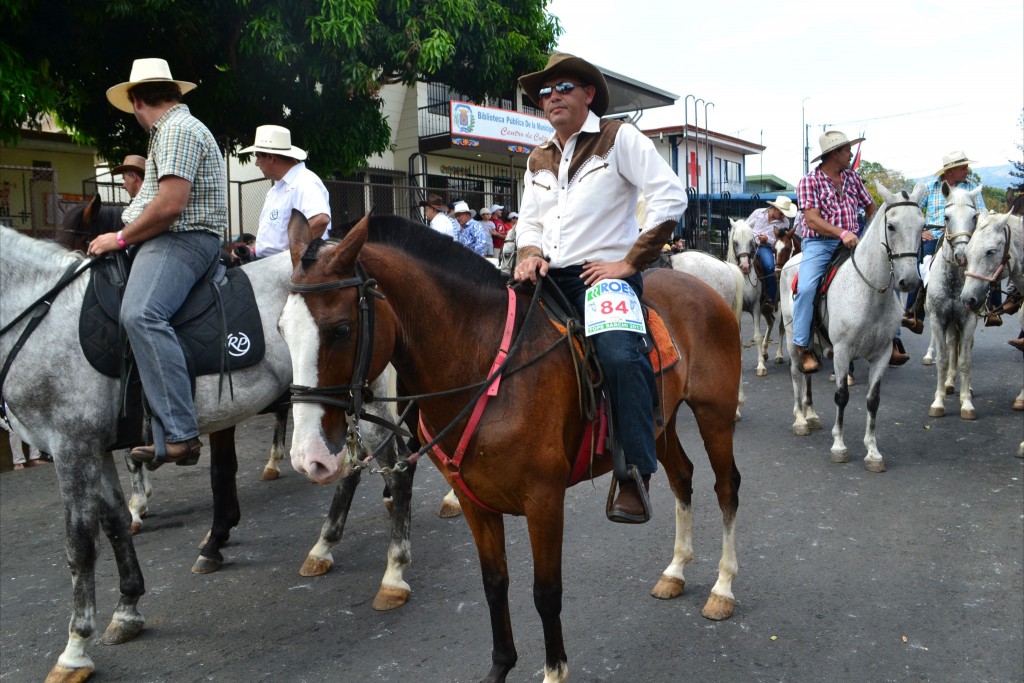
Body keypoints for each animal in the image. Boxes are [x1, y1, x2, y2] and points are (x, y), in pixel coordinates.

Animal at [782, 184, 929, 473]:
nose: (909, 281)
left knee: (807, 373)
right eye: (891, 226)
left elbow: (873, 400)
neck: (869, 292)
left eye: (922, 226)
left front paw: (872, 452)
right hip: (793, 339)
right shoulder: (842, 351)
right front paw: (839, 446)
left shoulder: (882, 354)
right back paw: (800, 420)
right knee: (796, 373)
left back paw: (811, 414)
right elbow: (842, 395)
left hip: (814, 343)